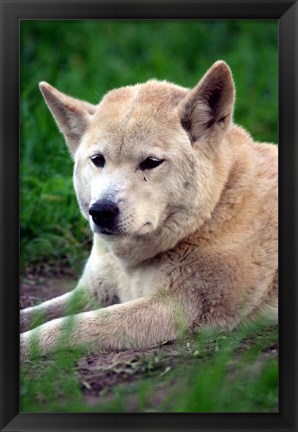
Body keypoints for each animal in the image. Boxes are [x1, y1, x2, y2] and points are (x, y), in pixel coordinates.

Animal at [19, 59, 278, 360]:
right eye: (98, 160)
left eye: (151, 162)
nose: (101, 211)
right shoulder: (92, 293)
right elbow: (34, 314)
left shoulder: (172, 307)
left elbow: (65, 327)